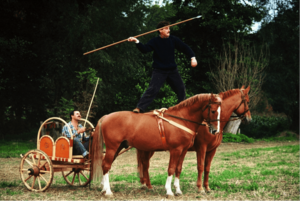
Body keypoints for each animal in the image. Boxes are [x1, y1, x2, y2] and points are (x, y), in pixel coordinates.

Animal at [91, 93, 223, 196]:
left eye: (220, 111)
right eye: (213, 111)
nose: (215, 130)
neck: (181, 119)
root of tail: (106, 116)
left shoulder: (184, 150)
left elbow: (178, 169)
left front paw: (178, 190)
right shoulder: (175, 150)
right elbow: (171, 169)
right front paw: (169, 191)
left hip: (118, 147)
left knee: (105, 164)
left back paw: (104, 189)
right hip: (112, 147)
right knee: (106, 165)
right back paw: (108, 191)